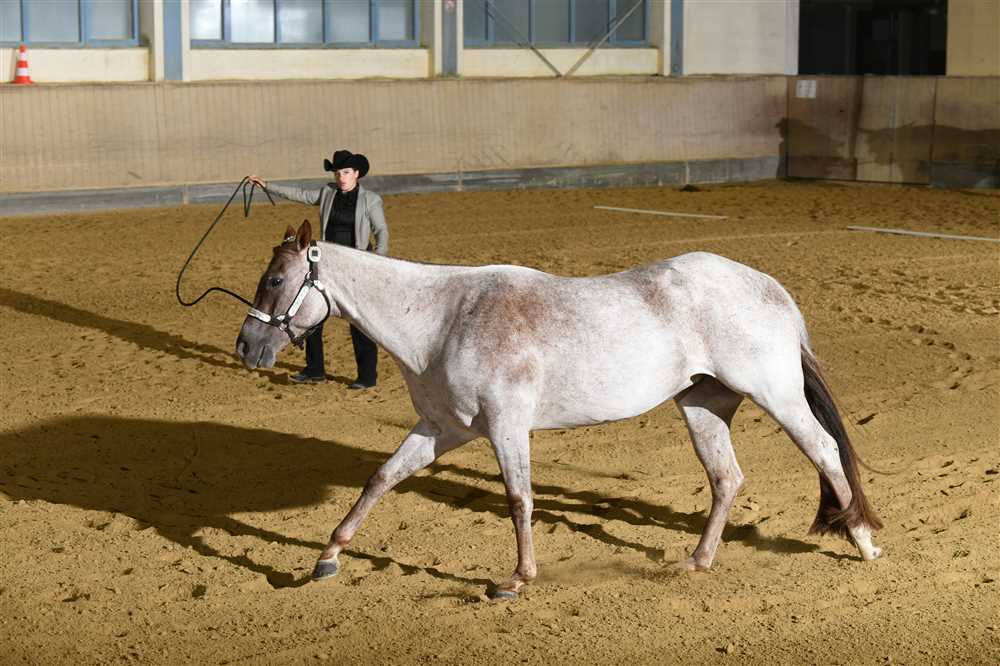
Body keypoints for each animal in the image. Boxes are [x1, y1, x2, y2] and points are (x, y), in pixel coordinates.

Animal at [235, 221, 883, 599]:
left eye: (276, 279)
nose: (247, 346)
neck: (444, 319)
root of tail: (772, 289)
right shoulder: (441, 430)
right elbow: (380, 480)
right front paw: (326, 558)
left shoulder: (505, 428)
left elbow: (519, 499)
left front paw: (516, 580)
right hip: (704, 405)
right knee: (726, 478)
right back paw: (697, 562)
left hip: (778, 395)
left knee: (825, 452)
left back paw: (863, 543)